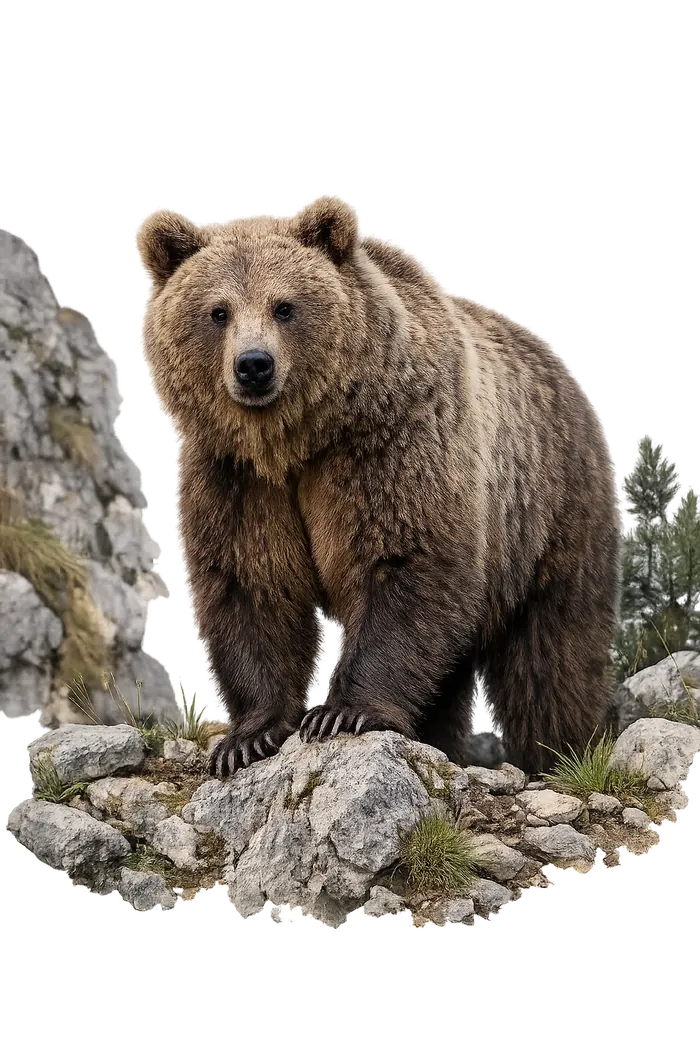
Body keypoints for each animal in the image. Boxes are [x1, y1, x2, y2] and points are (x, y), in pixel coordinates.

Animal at [134, 195, 621, 780]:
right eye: (218, 311)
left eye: (284, 306)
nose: (254, 365)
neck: (295, 441)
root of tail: (565, 371)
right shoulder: (235, 475)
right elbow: (252, 584)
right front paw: (249, 737)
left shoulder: (389, 441)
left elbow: (400, 556)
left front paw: (342, 713)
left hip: (549, 509)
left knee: (551, 655)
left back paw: (563, 755)